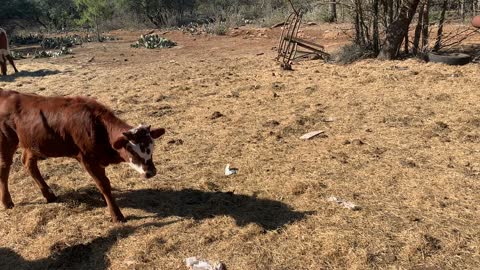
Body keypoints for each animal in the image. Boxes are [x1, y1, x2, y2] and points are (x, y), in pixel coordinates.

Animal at [0, 90, 165, 221]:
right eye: (131, 150)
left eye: (152, 146)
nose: (151, 172)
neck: (98, 127)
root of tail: (6, 93)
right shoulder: (87, 159)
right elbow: (104, 184)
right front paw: (116, 215)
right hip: (7, 142)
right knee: (5, 168)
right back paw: (7, 202)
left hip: (32, 144)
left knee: (29, 164)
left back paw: (49, 195)